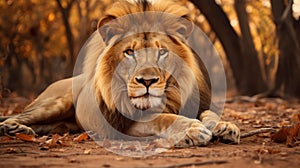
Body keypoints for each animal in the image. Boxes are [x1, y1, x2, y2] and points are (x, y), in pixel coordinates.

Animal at [0, 0, 239, 147]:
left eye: (162, 51)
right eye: (129, 52)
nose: (147, 81)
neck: (171, 97)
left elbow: (211, 113)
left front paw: (226, 126)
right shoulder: (125, 123)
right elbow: (161, 118)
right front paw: (192, 129)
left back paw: (24, 131)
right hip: (54, 103)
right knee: (16, 115)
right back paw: (13, 127)